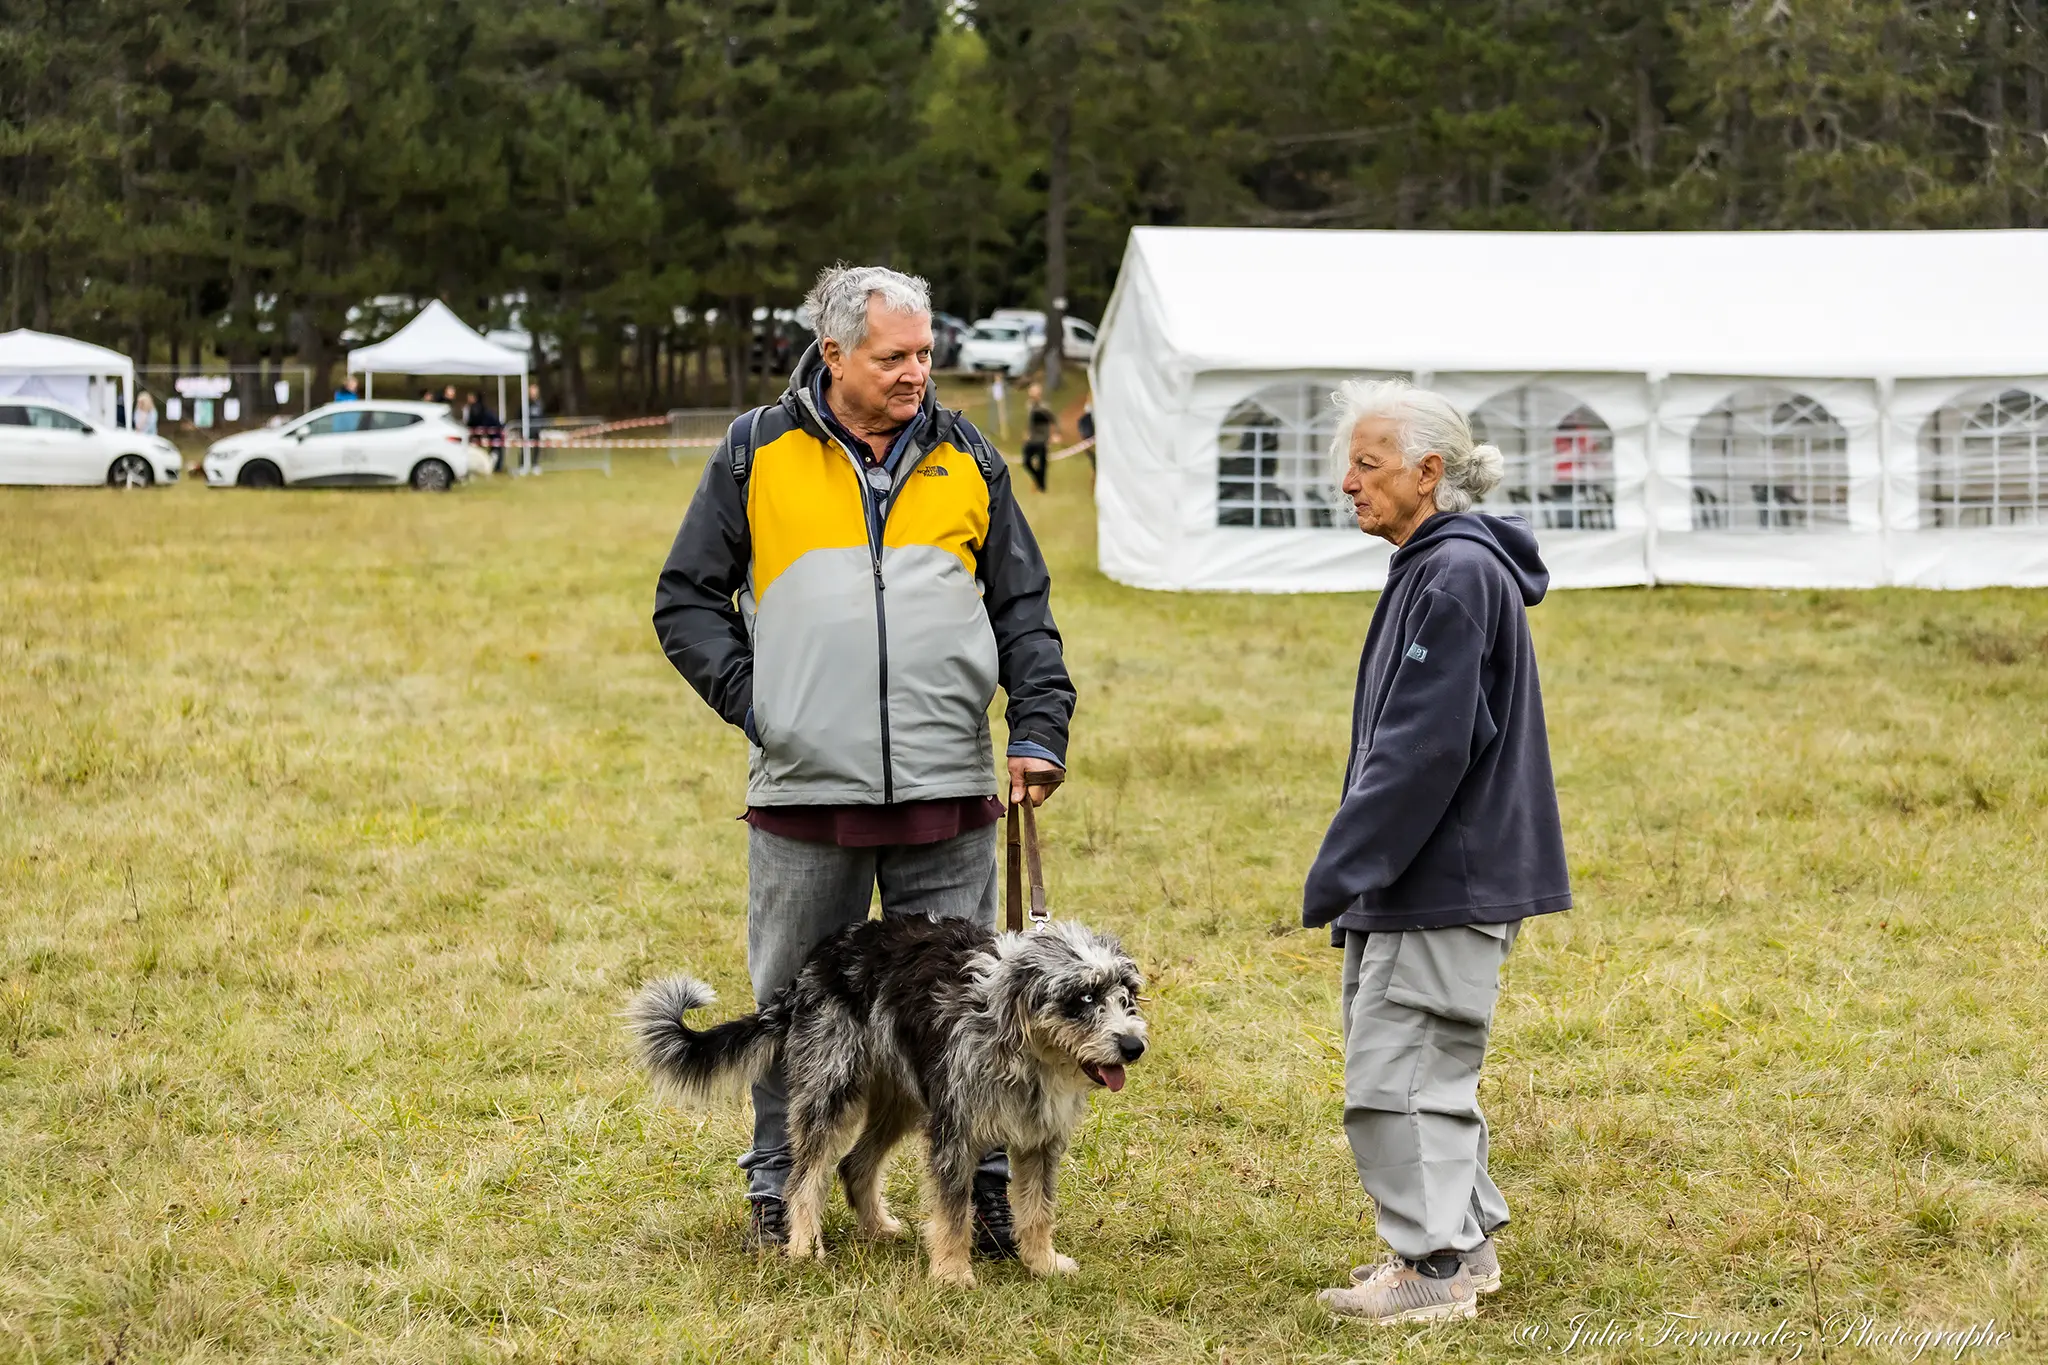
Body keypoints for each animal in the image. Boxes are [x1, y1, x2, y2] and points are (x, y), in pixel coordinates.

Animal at [622, 912, 1146, 1285]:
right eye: (1082, 998)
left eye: (1125, 995)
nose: (1133, 1046)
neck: (1021, 1045)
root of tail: (814, 964)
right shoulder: (953, 1134)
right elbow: (952, 1212)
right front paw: (952, 1274)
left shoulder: (1040, 1141)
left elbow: (1037, 1210)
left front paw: (1041, 1263)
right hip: (830, 1091)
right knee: (802, 1178)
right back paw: (804, 1245)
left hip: (902, 1100)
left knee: (854, 1164)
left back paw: (876, 1228)